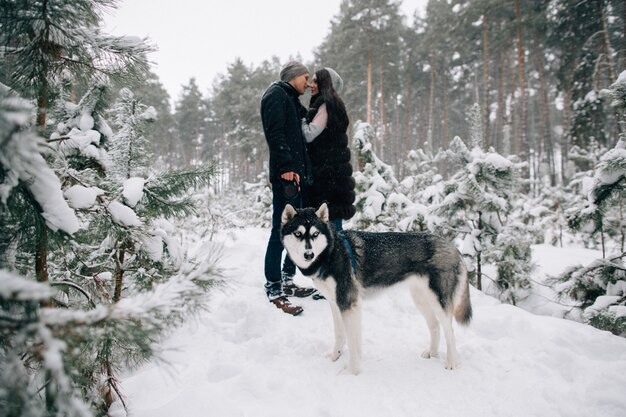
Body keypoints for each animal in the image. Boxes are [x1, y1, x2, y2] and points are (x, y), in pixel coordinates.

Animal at [280, 202, 470, 374]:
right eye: (298, 234)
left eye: (315, 234)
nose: (309, 254)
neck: (331, 252)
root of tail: (453, 247)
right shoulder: (336, 304)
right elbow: (340, 335)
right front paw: (336, 356)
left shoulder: (349, 305)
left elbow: (353, 342)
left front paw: (352, 371)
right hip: (421, 300)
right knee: (435, 326)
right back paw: (432, 352)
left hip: (439, 301)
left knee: (450, 332)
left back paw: (451, 362)